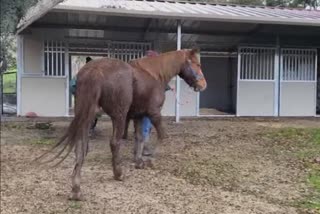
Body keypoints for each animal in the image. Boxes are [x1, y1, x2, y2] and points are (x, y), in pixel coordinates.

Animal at [38, 48, 208, 201]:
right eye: (197, 64)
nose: (203, 85)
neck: (154, 74)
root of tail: (94, 69)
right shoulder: (154, 113)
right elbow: (163, 136)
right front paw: (151, 160)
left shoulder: (140, 116)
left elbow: (140, 138)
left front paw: (139, 161)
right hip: (118, 116)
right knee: (114, 143)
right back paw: (118, 173)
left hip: (87, 116)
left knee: (81, 146)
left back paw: (76, 189)